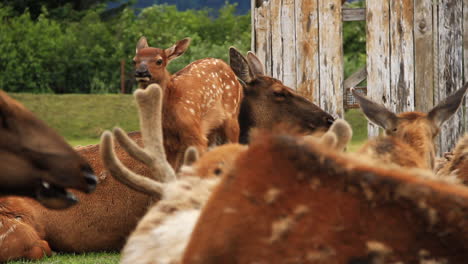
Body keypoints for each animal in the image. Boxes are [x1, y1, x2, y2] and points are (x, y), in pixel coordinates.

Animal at [132, 36, 241, 169]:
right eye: (134, 60)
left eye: (159, 61)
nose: (141, 72)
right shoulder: (167, 140)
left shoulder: (194, 132)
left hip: (232, 116)